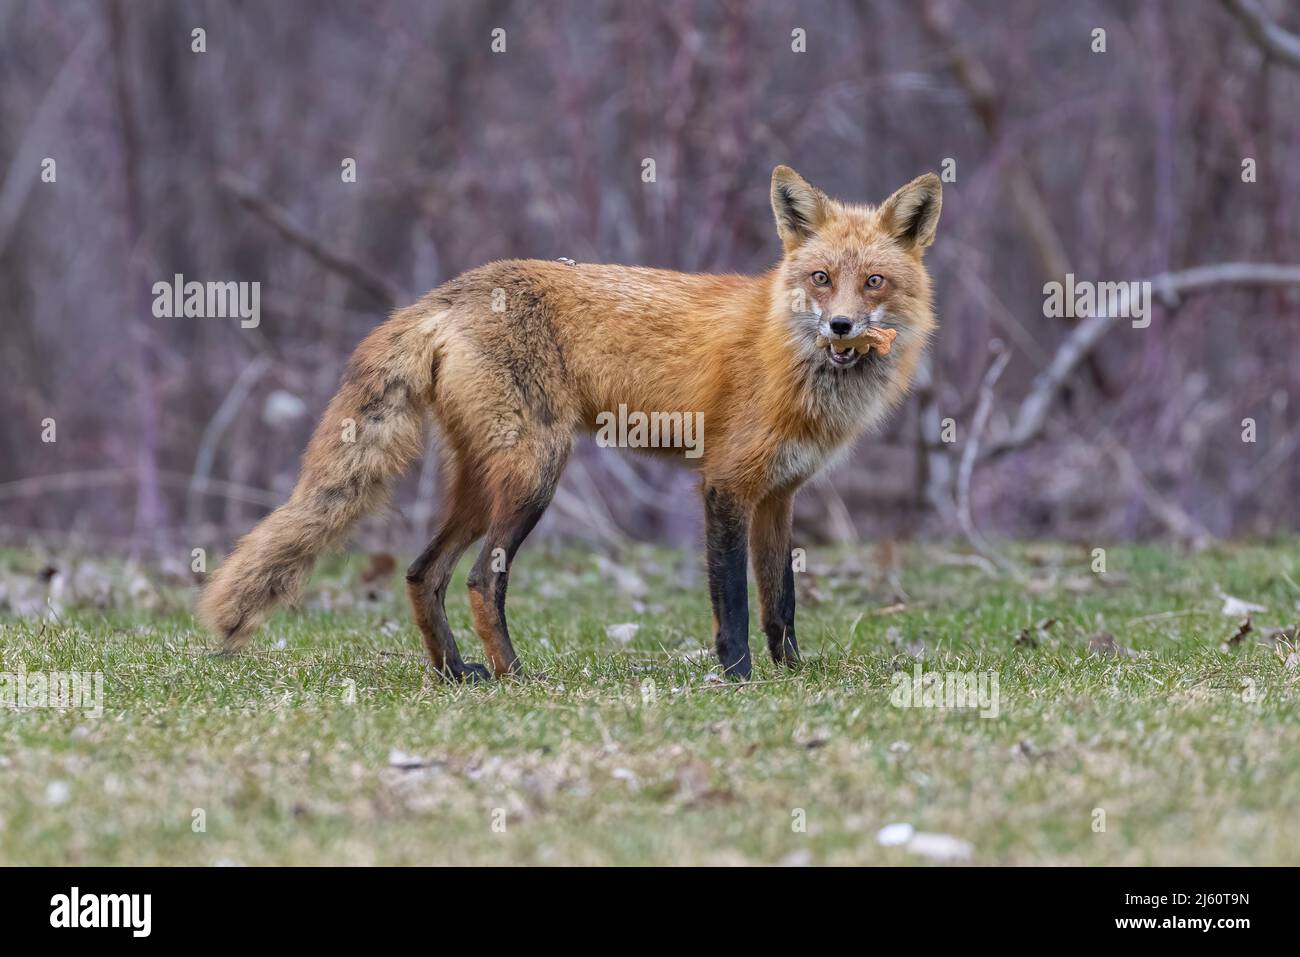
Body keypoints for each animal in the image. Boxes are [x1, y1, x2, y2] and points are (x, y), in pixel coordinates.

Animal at [197, 170, 941, 681]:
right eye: (820, 278)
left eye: (873, 282)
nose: (840, 326)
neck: (792, 355)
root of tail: (447, 293)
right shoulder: (726, 486)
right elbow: (731, 599)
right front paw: (738, 676)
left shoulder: (779, 495)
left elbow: (779, 600)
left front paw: (790, 673)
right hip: (536, 473)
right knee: (480, 580)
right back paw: (515, 675)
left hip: (484, 482)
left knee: (421, 572)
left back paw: (455, 673)